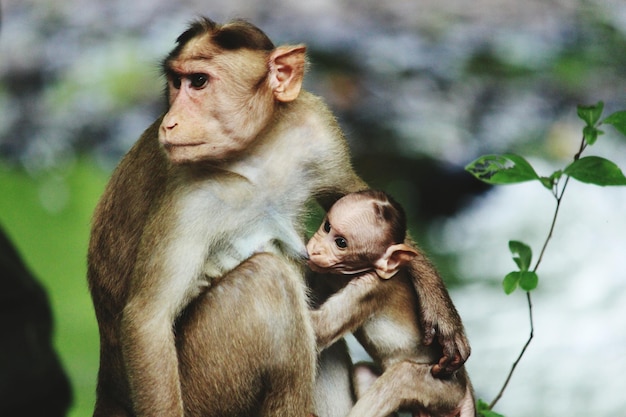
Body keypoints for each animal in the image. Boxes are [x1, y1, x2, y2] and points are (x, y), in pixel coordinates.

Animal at [304, 189, 470, 416]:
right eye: (327, 226)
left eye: (341, 243)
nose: (316, 249)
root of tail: (463, 388)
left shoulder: (371, 289)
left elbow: (320, 327)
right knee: (363, 372)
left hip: (445, 390)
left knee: (401, 378)